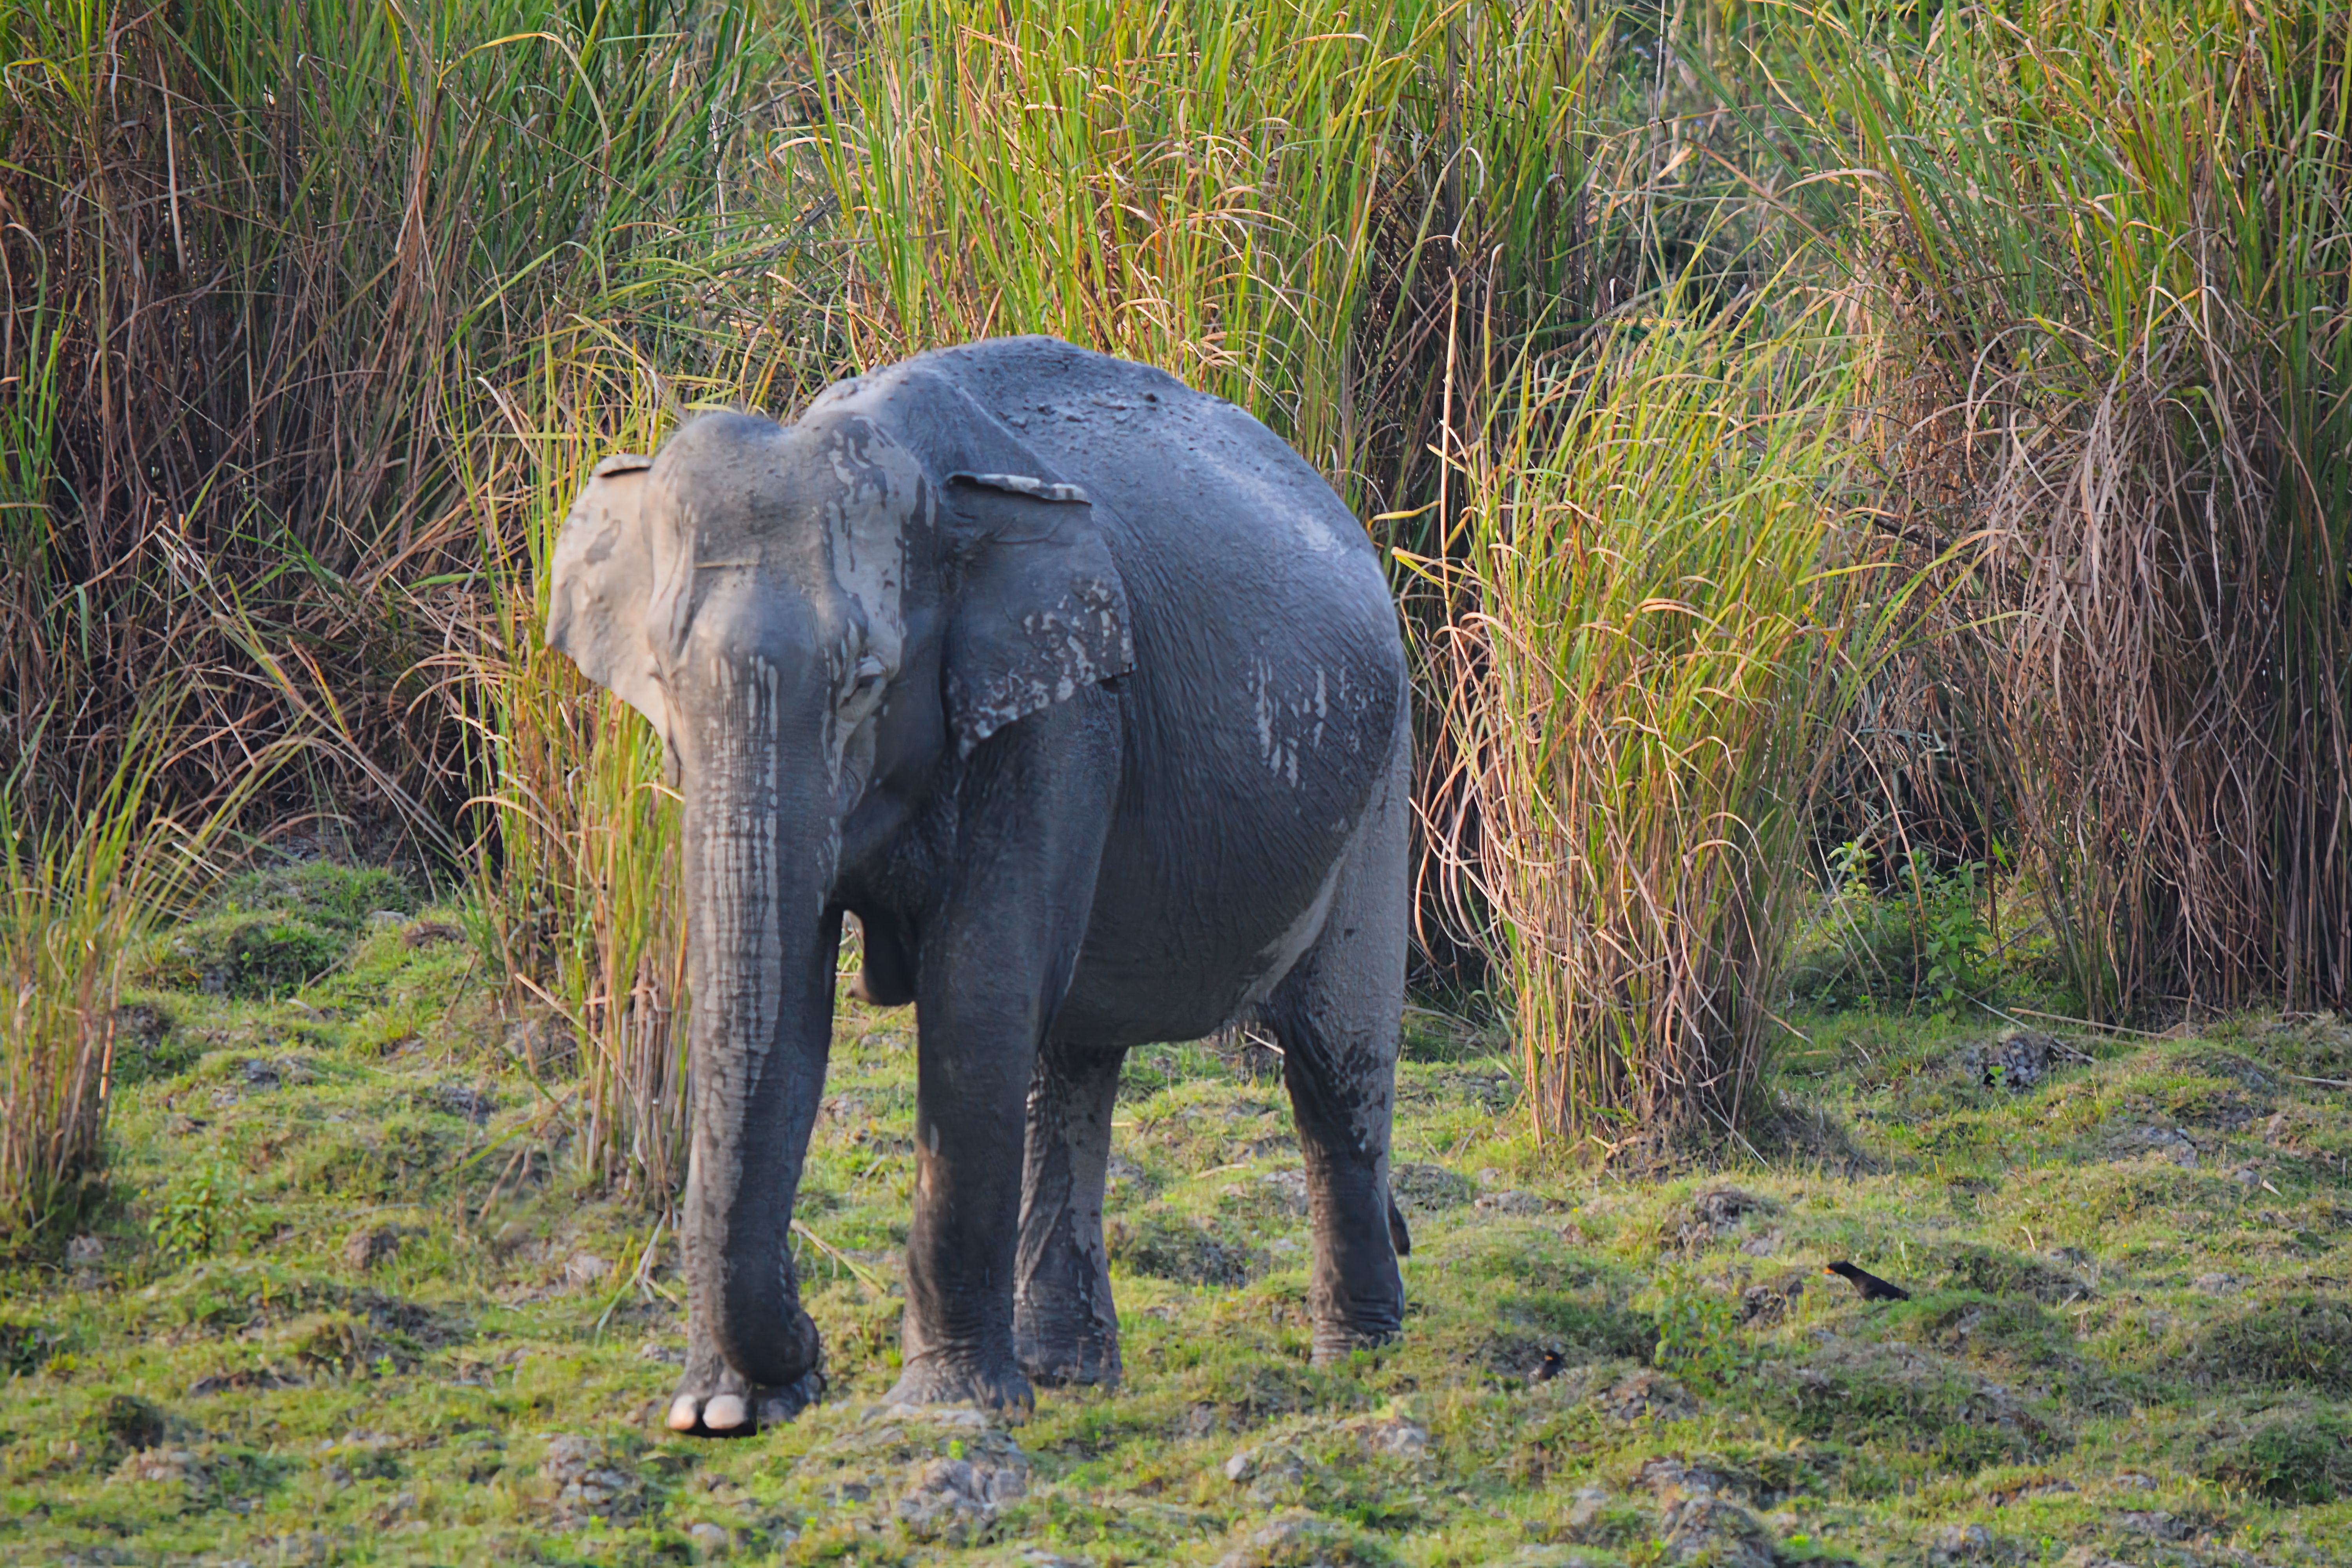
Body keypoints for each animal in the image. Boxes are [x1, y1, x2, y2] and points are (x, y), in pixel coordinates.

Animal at [546, 335, 1411, 1434]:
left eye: (866, 683)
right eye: (660, 676)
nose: (815, 1349)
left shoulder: (1064, 710)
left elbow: (978, 986)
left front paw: (940, 1410)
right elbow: (793, 1010)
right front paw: (723, 1413)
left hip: (1383, 779)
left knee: (1334, 1063)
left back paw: (1359, 1361)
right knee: (1073, 1057)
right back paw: (1069, 1369)